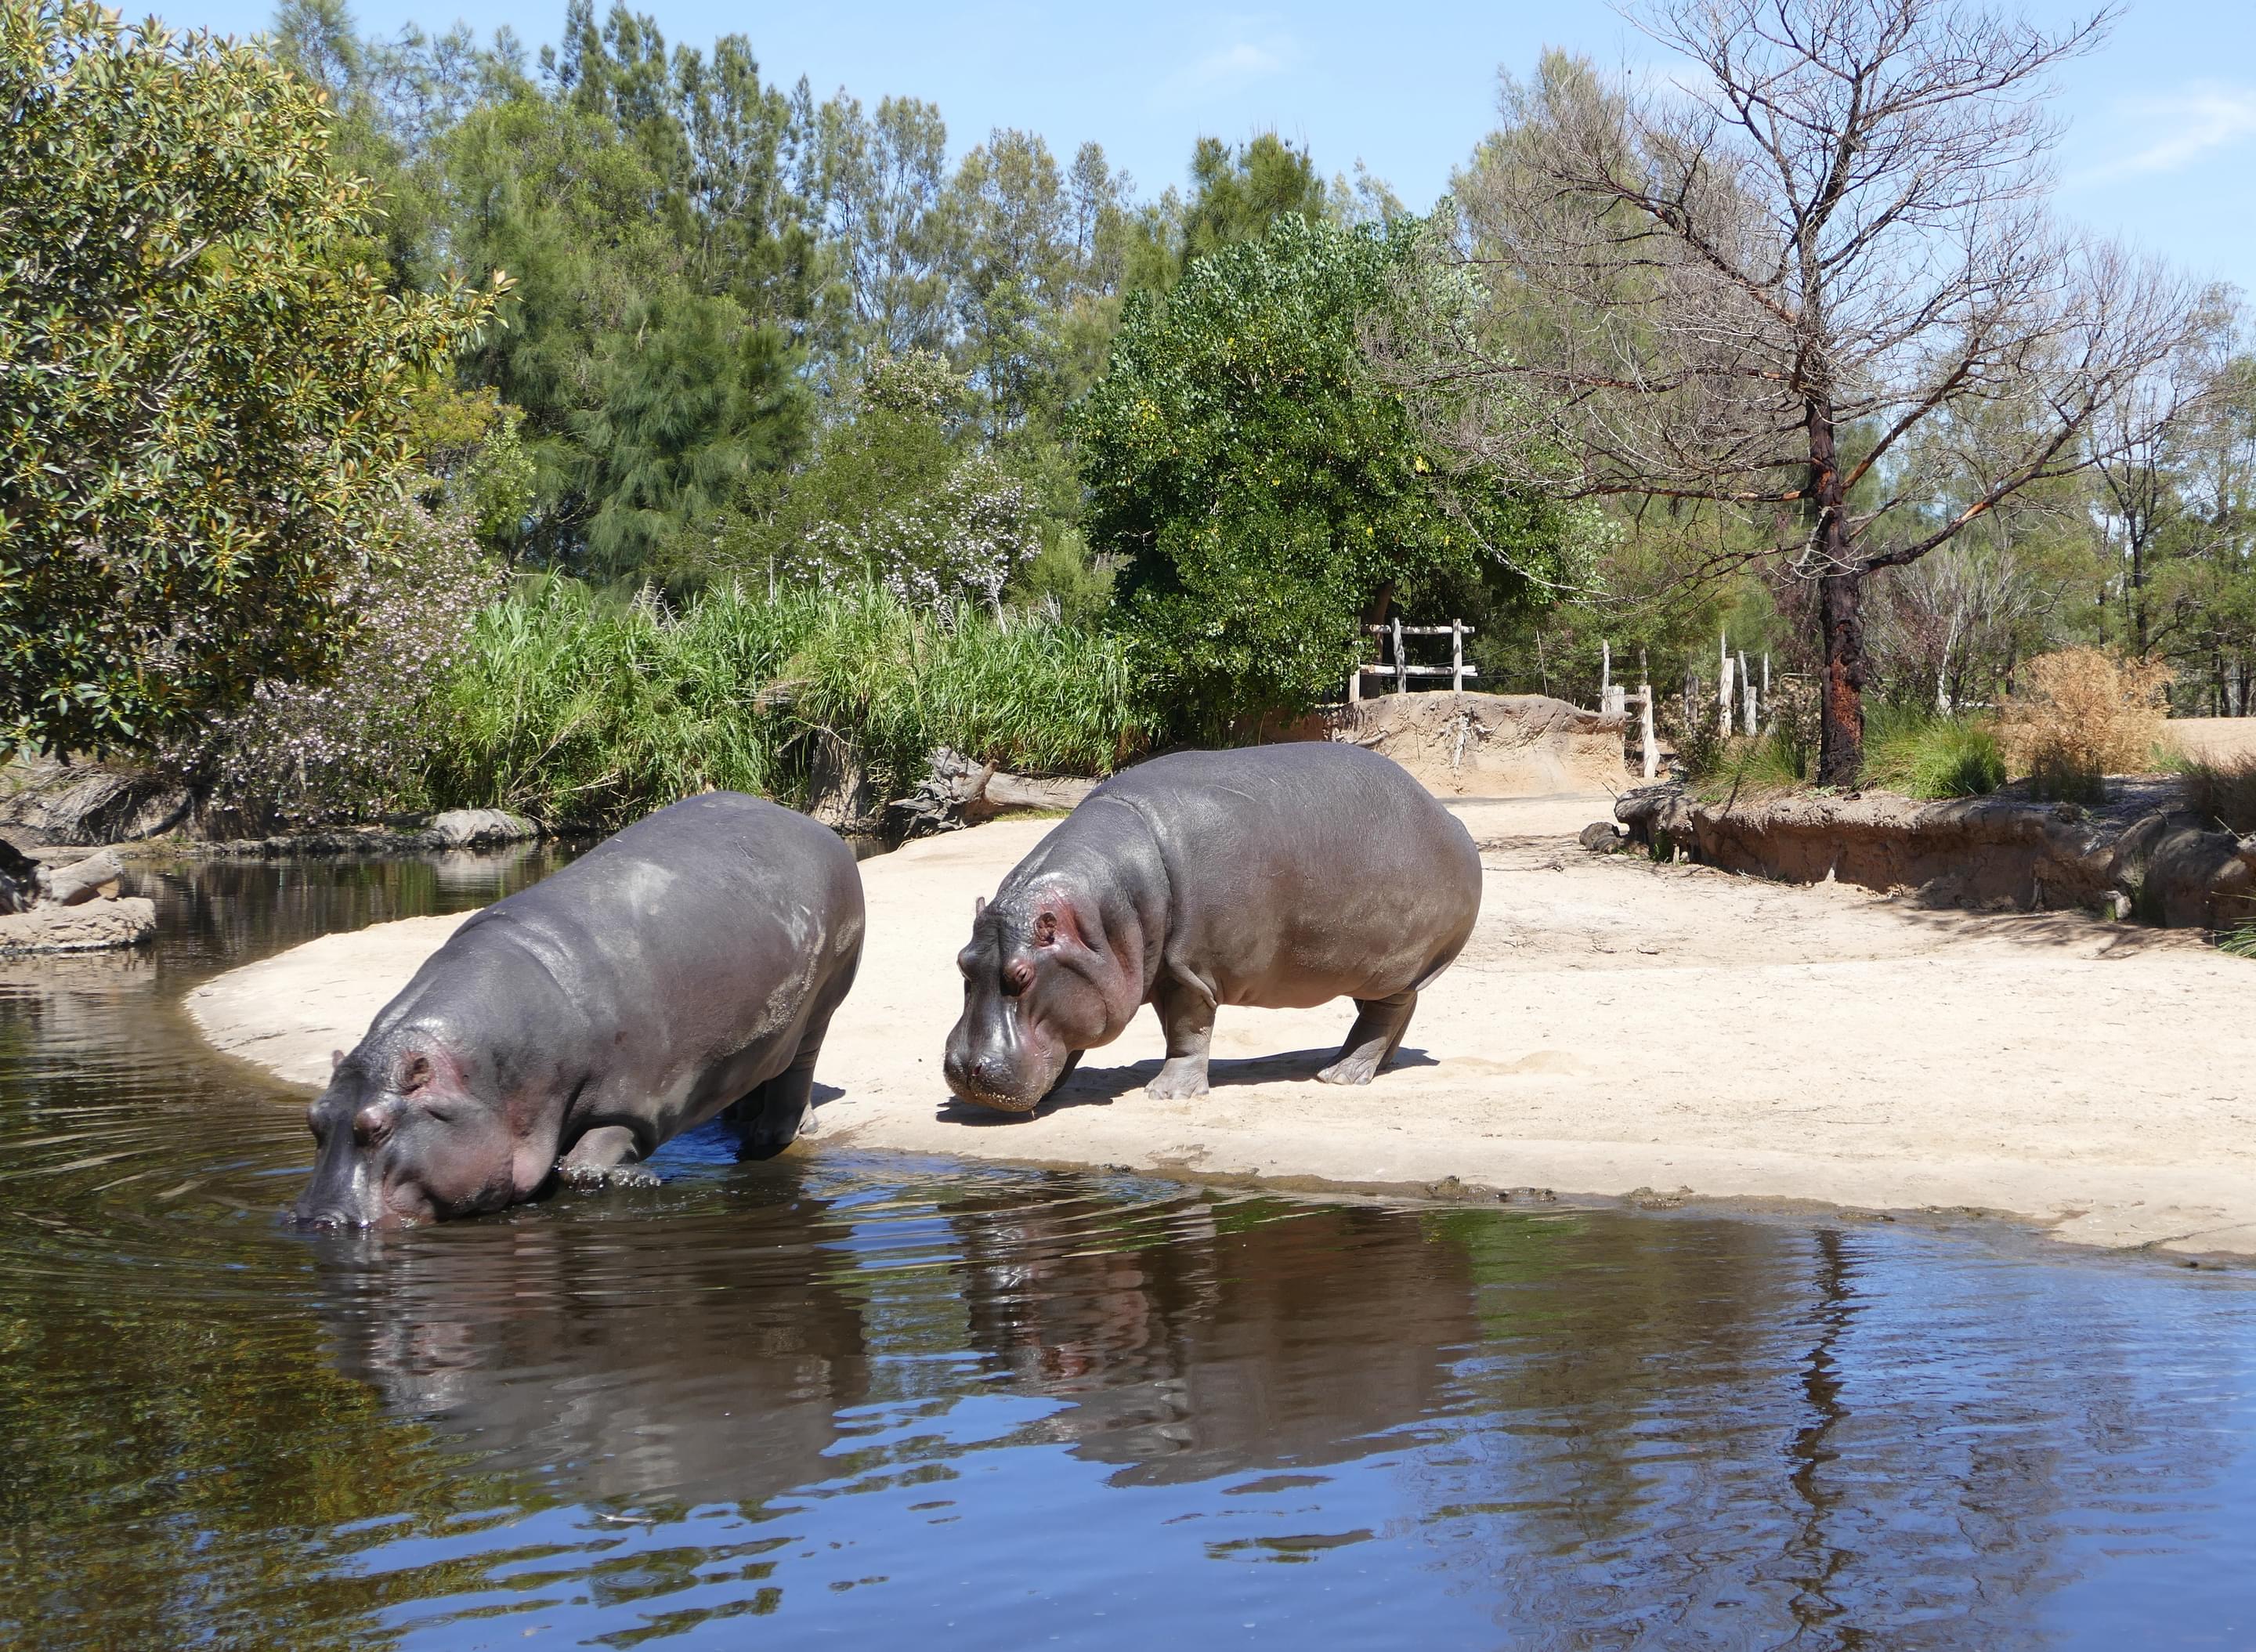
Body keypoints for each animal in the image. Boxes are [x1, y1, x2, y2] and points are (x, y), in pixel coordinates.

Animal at [300, 794, 862, 1236]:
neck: (479, 1081)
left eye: (376, 1127)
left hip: (825, 1001)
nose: (318, 1222)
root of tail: (814, 825)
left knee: (799, 1065)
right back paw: (739, 1118)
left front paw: (625, 1178)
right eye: (314, 1119)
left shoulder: (634, 1105)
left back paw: (774, 1133)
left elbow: (584, 1165)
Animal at [947, 744, 1488, 1115]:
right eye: (962, 964)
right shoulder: (1130, 973)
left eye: (1022, 976)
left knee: (1383, 1016)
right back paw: (1379, 1065)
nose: (964, 1070)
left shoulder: (1189, 969)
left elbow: (1188, 1030)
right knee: (1396, 1013)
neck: (1099, 922)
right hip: (1369, 967)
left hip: (1392, 966)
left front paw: (1167, 1095)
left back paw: (1340, 1076)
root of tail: (1451, 820)